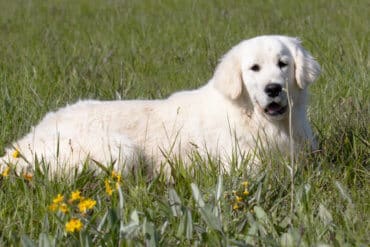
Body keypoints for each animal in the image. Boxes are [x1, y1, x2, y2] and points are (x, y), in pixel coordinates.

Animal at [0, 35, 320, 177]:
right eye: (254, 68)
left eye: (283, 64)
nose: (273, 89)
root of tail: (20, 144)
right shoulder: (241, 165)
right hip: (119, 150)